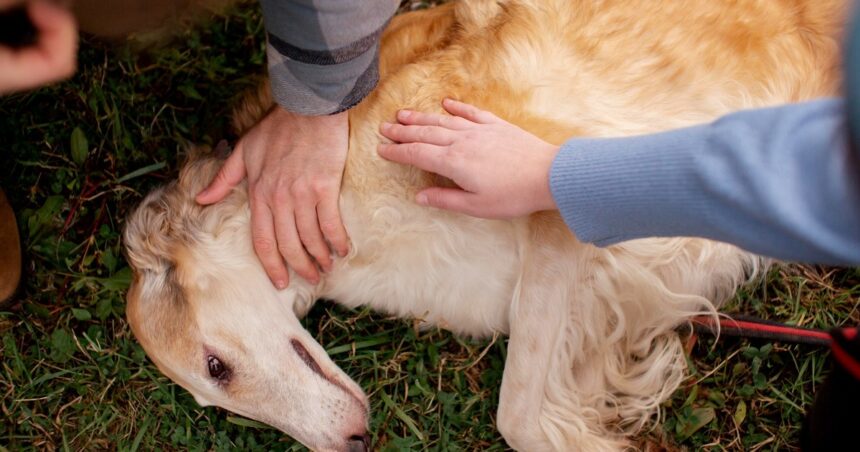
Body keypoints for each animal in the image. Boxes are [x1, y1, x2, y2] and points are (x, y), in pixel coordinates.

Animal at [121, 1, 848, 450]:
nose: (353, 443)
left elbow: (518, 416)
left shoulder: (558, 183)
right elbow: (552, 394)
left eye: (216, 367)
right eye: (213, 398)